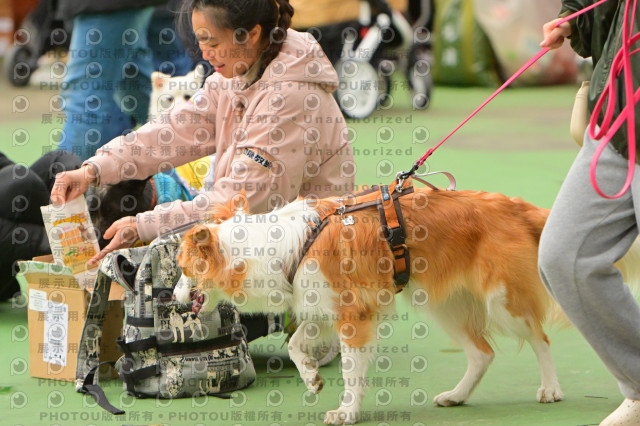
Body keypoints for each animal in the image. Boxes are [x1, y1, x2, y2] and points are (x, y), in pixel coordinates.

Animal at [175, 183, 640, 424]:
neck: (272, 247)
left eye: (181, 267)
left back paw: (551, 388)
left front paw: (347, 410)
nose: (173, 300)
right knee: (483, 353)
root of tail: (513, 205)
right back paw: (457, 395)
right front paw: (312, 380)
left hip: (502, 300)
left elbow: (351, 371)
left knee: (540, 337)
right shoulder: (322, 306)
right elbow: (294, 345)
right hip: (447, 306)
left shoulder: (354, 314)